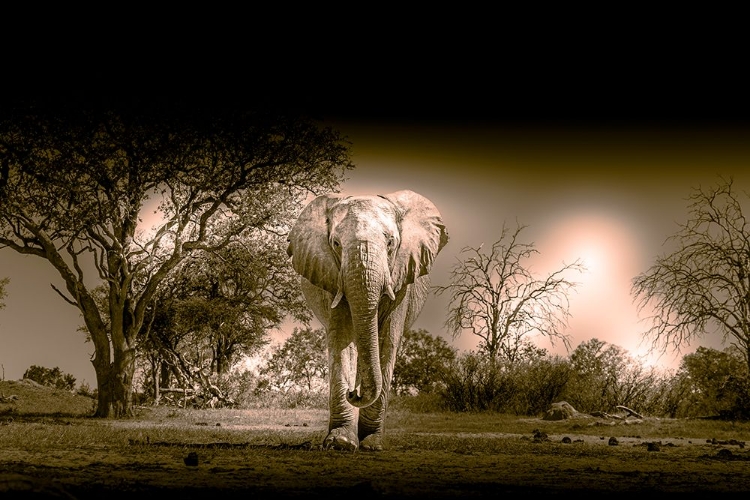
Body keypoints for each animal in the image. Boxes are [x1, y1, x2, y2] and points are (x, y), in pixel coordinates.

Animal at [286, 189, 450, 452]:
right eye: (336, 244)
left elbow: (386, 340)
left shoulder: (402, 278)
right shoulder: (333, 277)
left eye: (391, 243)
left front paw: (372, 443)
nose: (354, 393)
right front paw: (341, 442)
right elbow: (344, 338)